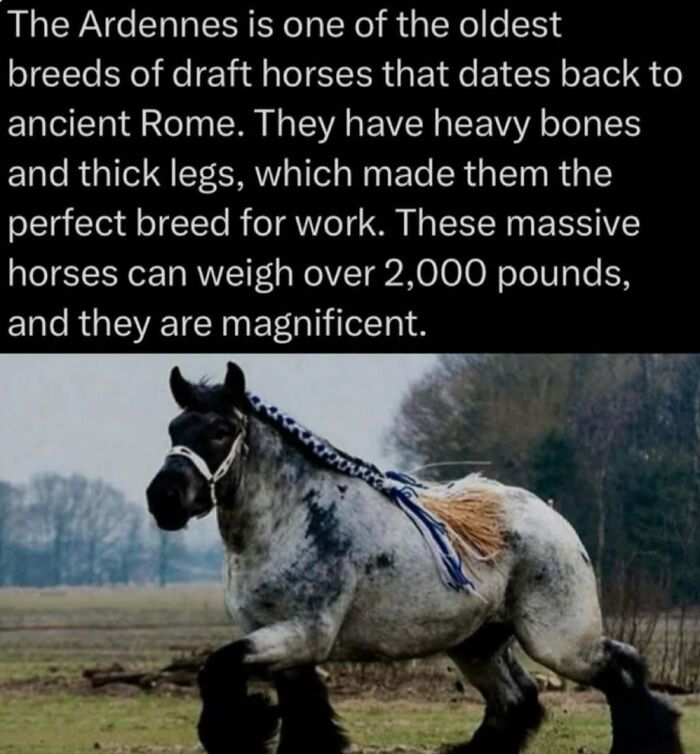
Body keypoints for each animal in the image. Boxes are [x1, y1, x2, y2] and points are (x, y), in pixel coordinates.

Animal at [146, 362, 684, 754]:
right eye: (174, 427)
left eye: (220, 430)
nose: (163, 498)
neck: (290, 519)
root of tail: (553, 519)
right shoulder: (285, 645)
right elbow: (302, 718)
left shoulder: (301, 634)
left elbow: (217, 669)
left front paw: (240, 729)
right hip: (478, 644)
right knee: (517, 700)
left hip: (558, 641)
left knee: (620, 672)